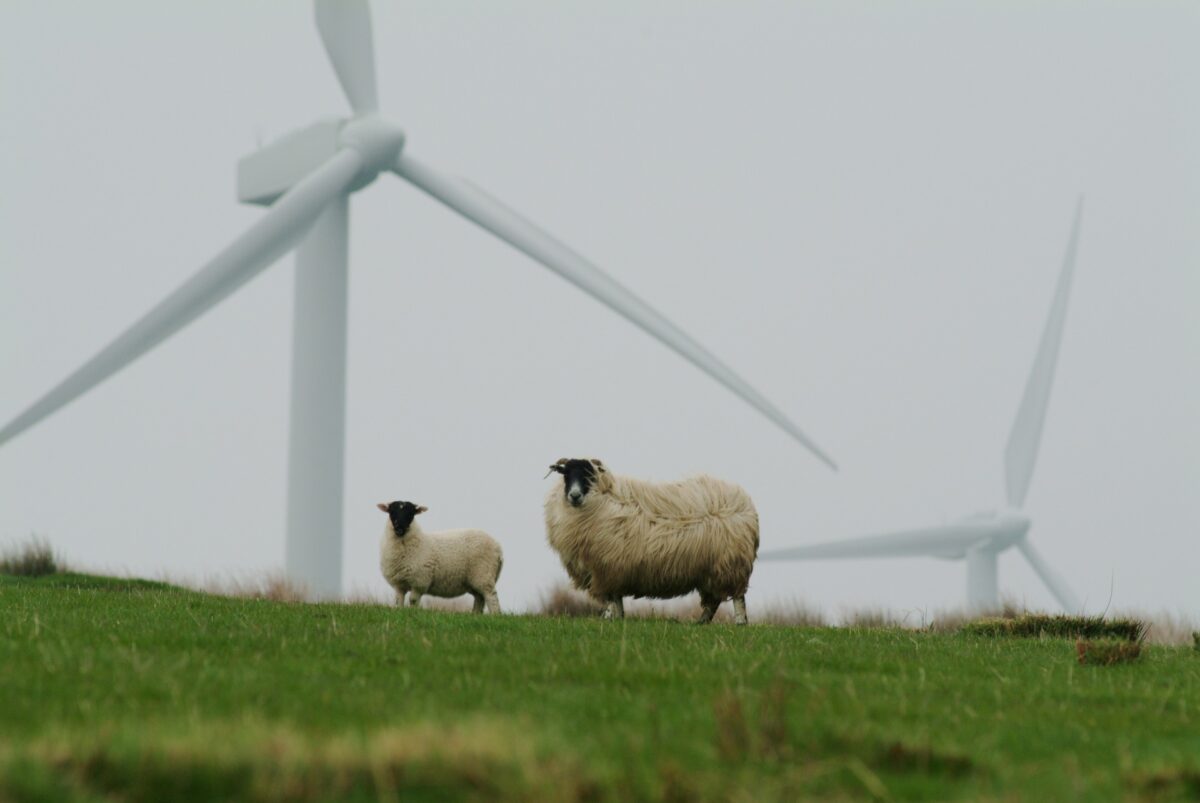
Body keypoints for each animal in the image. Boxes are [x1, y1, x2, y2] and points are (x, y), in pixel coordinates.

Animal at [544, 456, 758, 624]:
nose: (574, 495)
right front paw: (617, 619)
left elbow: (611, 600)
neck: (601, 501)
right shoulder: (612, 571)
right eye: (566, 474)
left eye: (589, 475)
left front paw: (608, 618)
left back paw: (739, 622)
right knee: (713, 601)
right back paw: (700, 623)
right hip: (711, 571)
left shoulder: (606, 568)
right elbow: (616, 601)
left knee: (737, 597)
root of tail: (745, 503)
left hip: (731, 565)